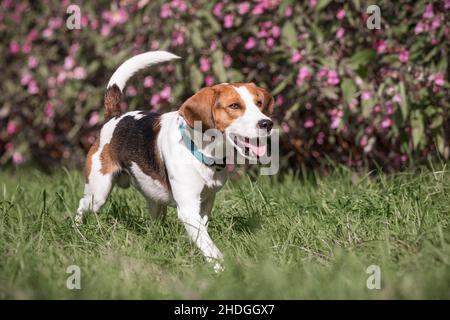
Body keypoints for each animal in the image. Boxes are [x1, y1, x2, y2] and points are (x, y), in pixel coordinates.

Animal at [76, 51, 274, 272]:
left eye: (259, 104)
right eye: (234, 106)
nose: (267, 123)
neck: (204, 151)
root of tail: (115, 117)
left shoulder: (205, 204)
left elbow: (202, 236)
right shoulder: (188, 209)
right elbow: (210, 247)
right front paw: (221, 269)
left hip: (153, 199)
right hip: (98, 193)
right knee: (82, 206)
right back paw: (78, 233)